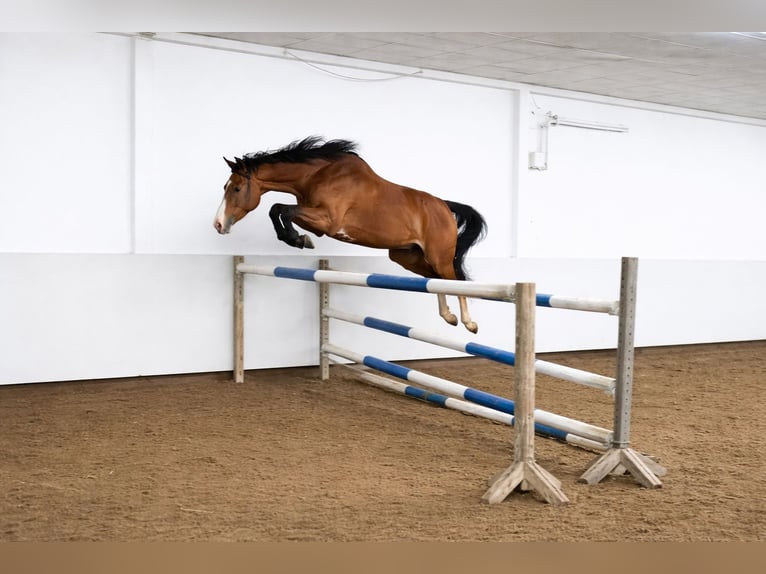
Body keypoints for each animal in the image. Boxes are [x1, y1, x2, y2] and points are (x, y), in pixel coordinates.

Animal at [213, 136, 487, 333]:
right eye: (226, 187)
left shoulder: (327, 222)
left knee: (455, 280)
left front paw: (298, 240)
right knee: (437, 280)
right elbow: (279, 210)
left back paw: (469, 323)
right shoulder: (318, 224)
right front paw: (298, 239)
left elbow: (281, 209)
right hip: (408, 257)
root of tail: (444, 206)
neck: (317, 176)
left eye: (236, 188)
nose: (218, 224)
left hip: (438, 256)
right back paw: (449, 317)